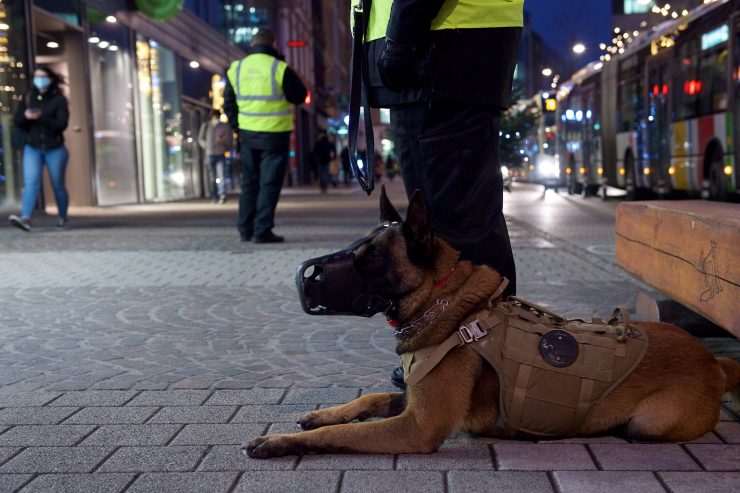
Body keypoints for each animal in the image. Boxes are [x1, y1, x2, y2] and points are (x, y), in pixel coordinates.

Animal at [244, 188, 740, 458]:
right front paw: (321, 413)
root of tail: (713, 361)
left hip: (649, 422)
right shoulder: (410, 403)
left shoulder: (417, 426)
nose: (302, 279)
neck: (442, 303)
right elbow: (367, 399)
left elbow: (341, 434)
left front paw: (280, 442)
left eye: (370, 260)